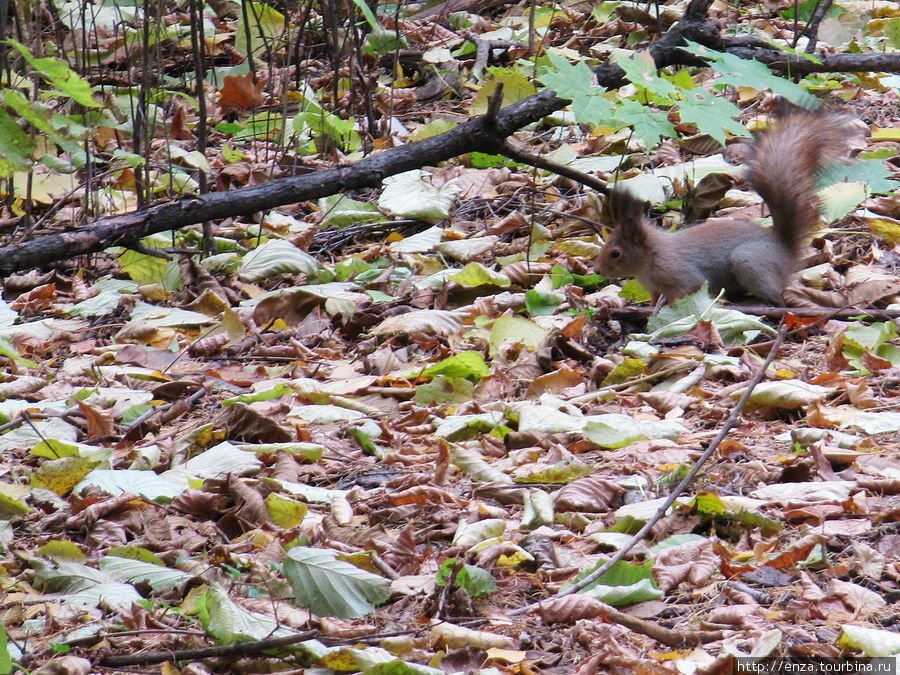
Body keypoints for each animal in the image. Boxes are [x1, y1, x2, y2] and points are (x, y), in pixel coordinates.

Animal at [596, 111, 860, 306]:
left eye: (615, 252)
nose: (599, 270)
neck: (651, 256)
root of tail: (786, 250)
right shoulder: (653, 288)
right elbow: (654, 300)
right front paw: (652, 312)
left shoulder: (680, 275)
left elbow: (685, 290)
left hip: (749, 262)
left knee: (776, 296)